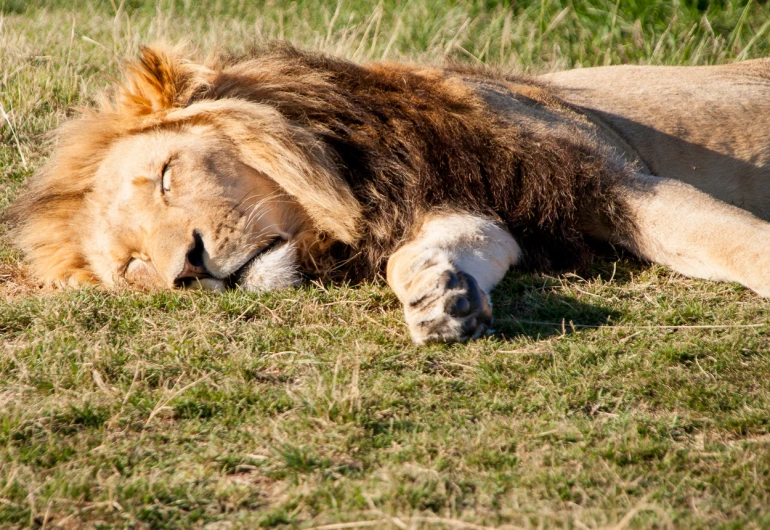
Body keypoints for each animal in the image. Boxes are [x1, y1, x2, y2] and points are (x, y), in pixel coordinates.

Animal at [9, 44, 768, 342]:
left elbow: (733, 238)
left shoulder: (613, 178)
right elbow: (434, 250)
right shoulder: (472, 210)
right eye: (133, 267)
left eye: (166, 175)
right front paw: (438, 296)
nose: (188, 269)